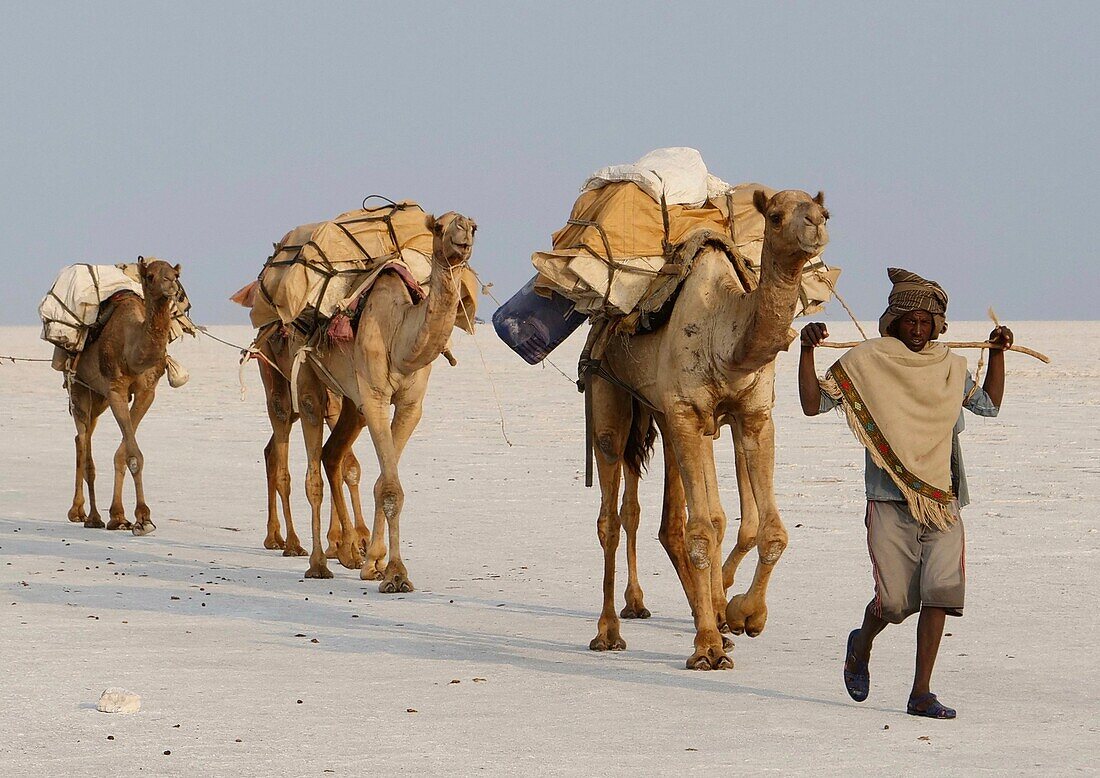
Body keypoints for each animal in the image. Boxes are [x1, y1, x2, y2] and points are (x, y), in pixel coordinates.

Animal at [65, 259, 182, 534]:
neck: (132, 352)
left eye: (175, 274)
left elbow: (124, 453)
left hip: (98, 397)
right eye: (150, 276)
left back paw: (83, 512)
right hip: (79, 387)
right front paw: (143, 518)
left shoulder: (146, 392)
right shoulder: (115, 389)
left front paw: (119, 516)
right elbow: (133, 454)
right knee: (84, 444)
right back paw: (89, 516)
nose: (171, 284)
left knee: (82, 437)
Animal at [292, 210, 477, 585]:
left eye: (475, 227)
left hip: (353, 401)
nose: (463, 232)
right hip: (309, 376)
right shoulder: (376, 397)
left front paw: (374, 564)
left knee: (333, 455)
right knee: (313, 470)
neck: (400, 338)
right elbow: (390, 486)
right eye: (439, 226)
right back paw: (318, 564)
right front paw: (395, 574)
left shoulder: (409, 405)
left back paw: (348, 552)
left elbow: (384, 483)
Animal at [589, 190, 827, 669]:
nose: (815, 224)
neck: (726, 334)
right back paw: (609, 631)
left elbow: (767, 531)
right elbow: (701, 531)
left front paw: (743, 615)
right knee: (611, 511)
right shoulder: (687, 413)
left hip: (665, 416)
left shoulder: (752, 416)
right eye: (776, 216)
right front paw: (707, 647)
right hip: (608, 390)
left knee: (668, 519)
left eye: (824, 211)